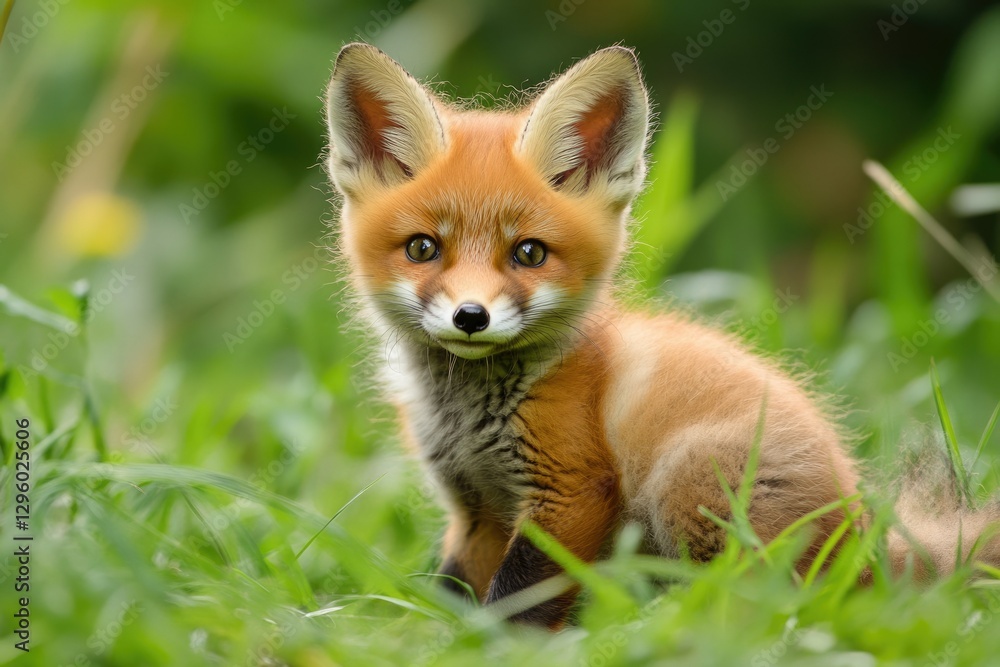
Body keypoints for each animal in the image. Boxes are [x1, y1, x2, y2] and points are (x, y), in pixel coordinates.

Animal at [323, 43, 1000, 628]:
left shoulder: (570, 492)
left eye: (529, 253)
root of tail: (867, 537)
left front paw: (498, 646)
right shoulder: (476, 509)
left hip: (689, 474)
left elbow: (520, 598)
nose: (470, 317)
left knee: (760, 601)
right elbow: (456, 588)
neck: (470, 418)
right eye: (423, 248)